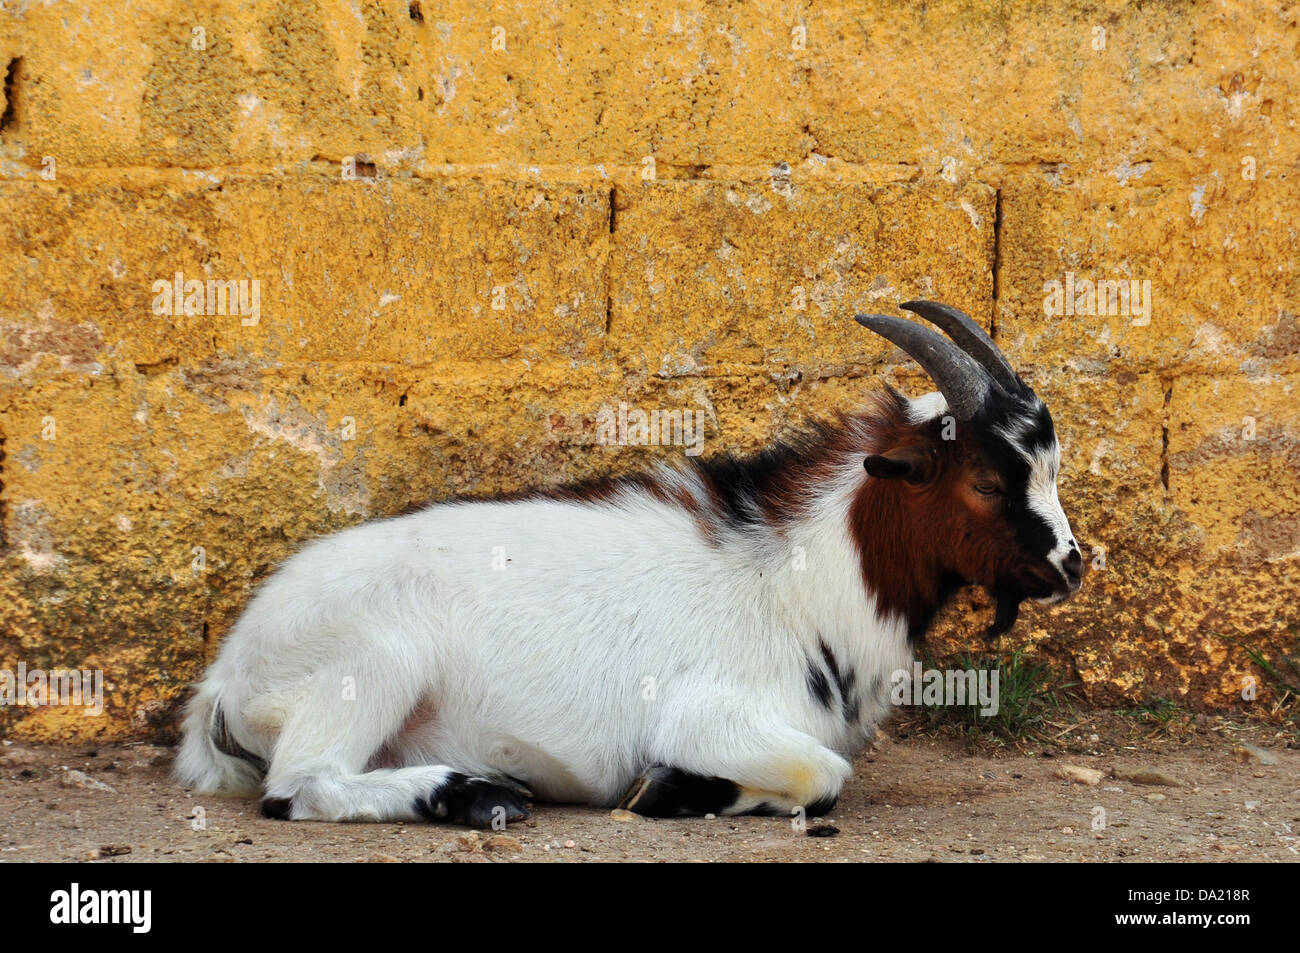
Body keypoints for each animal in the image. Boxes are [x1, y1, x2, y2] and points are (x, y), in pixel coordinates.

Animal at [178, 302, 1081, 826]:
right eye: (990, 479)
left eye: (1050, 466)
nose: (1073, 566)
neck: (790, 578)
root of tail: (226, 674)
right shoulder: (711, 716)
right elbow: (824, 773)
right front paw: (671, 790)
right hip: (371, 661)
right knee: (300, 784)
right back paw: (475, 794)